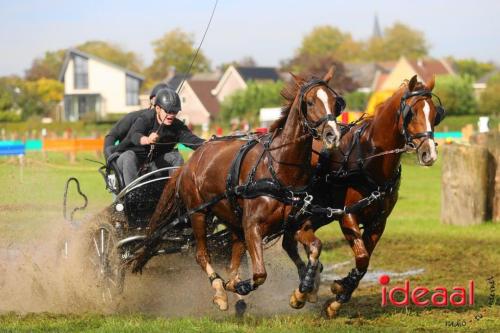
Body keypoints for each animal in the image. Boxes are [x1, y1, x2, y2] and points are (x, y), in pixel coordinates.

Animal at [131, 67, 346, 312]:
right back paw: (220, 290)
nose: (332, 135)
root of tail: (188, 164)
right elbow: (260, 274)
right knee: (202, 255)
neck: (278, 169)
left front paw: (303, 291)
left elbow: (315, 248)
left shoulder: (295, 225)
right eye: (309, 102)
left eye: (336, 102)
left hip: (232, 219)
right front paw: (237, 287)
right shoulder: (252, 226)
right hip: (198, 213)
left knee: (231, 260)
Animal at [282, 74, 446, 316]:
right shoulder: (347, 215)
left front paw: (340, 293)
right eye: (412, 113)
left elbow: (365, 262)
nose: (429, 154)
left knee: (296, 236)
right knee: (292, 238)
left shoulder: (378, 221)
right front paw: (338, 291)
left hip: (320, 212)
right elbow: (361, 257)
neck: (370, 158)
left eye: (435, 114)